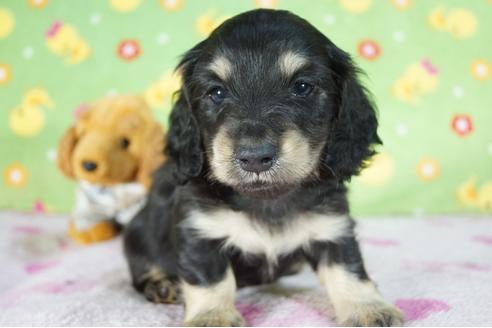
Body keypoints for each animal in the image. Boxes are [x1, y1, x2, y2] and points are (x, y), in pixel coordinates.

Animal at [125, 9, 406, 326]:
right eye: (216, 92)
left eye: (302, 87)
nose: (254, 157)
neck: (267, 198)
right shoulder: (199, 230)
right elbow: (211, 279)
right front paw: (213, 316)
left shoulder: (332, 226)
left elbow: (349, 269)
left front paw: (367, 307)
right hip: (139, 234)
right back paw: (162, 284)